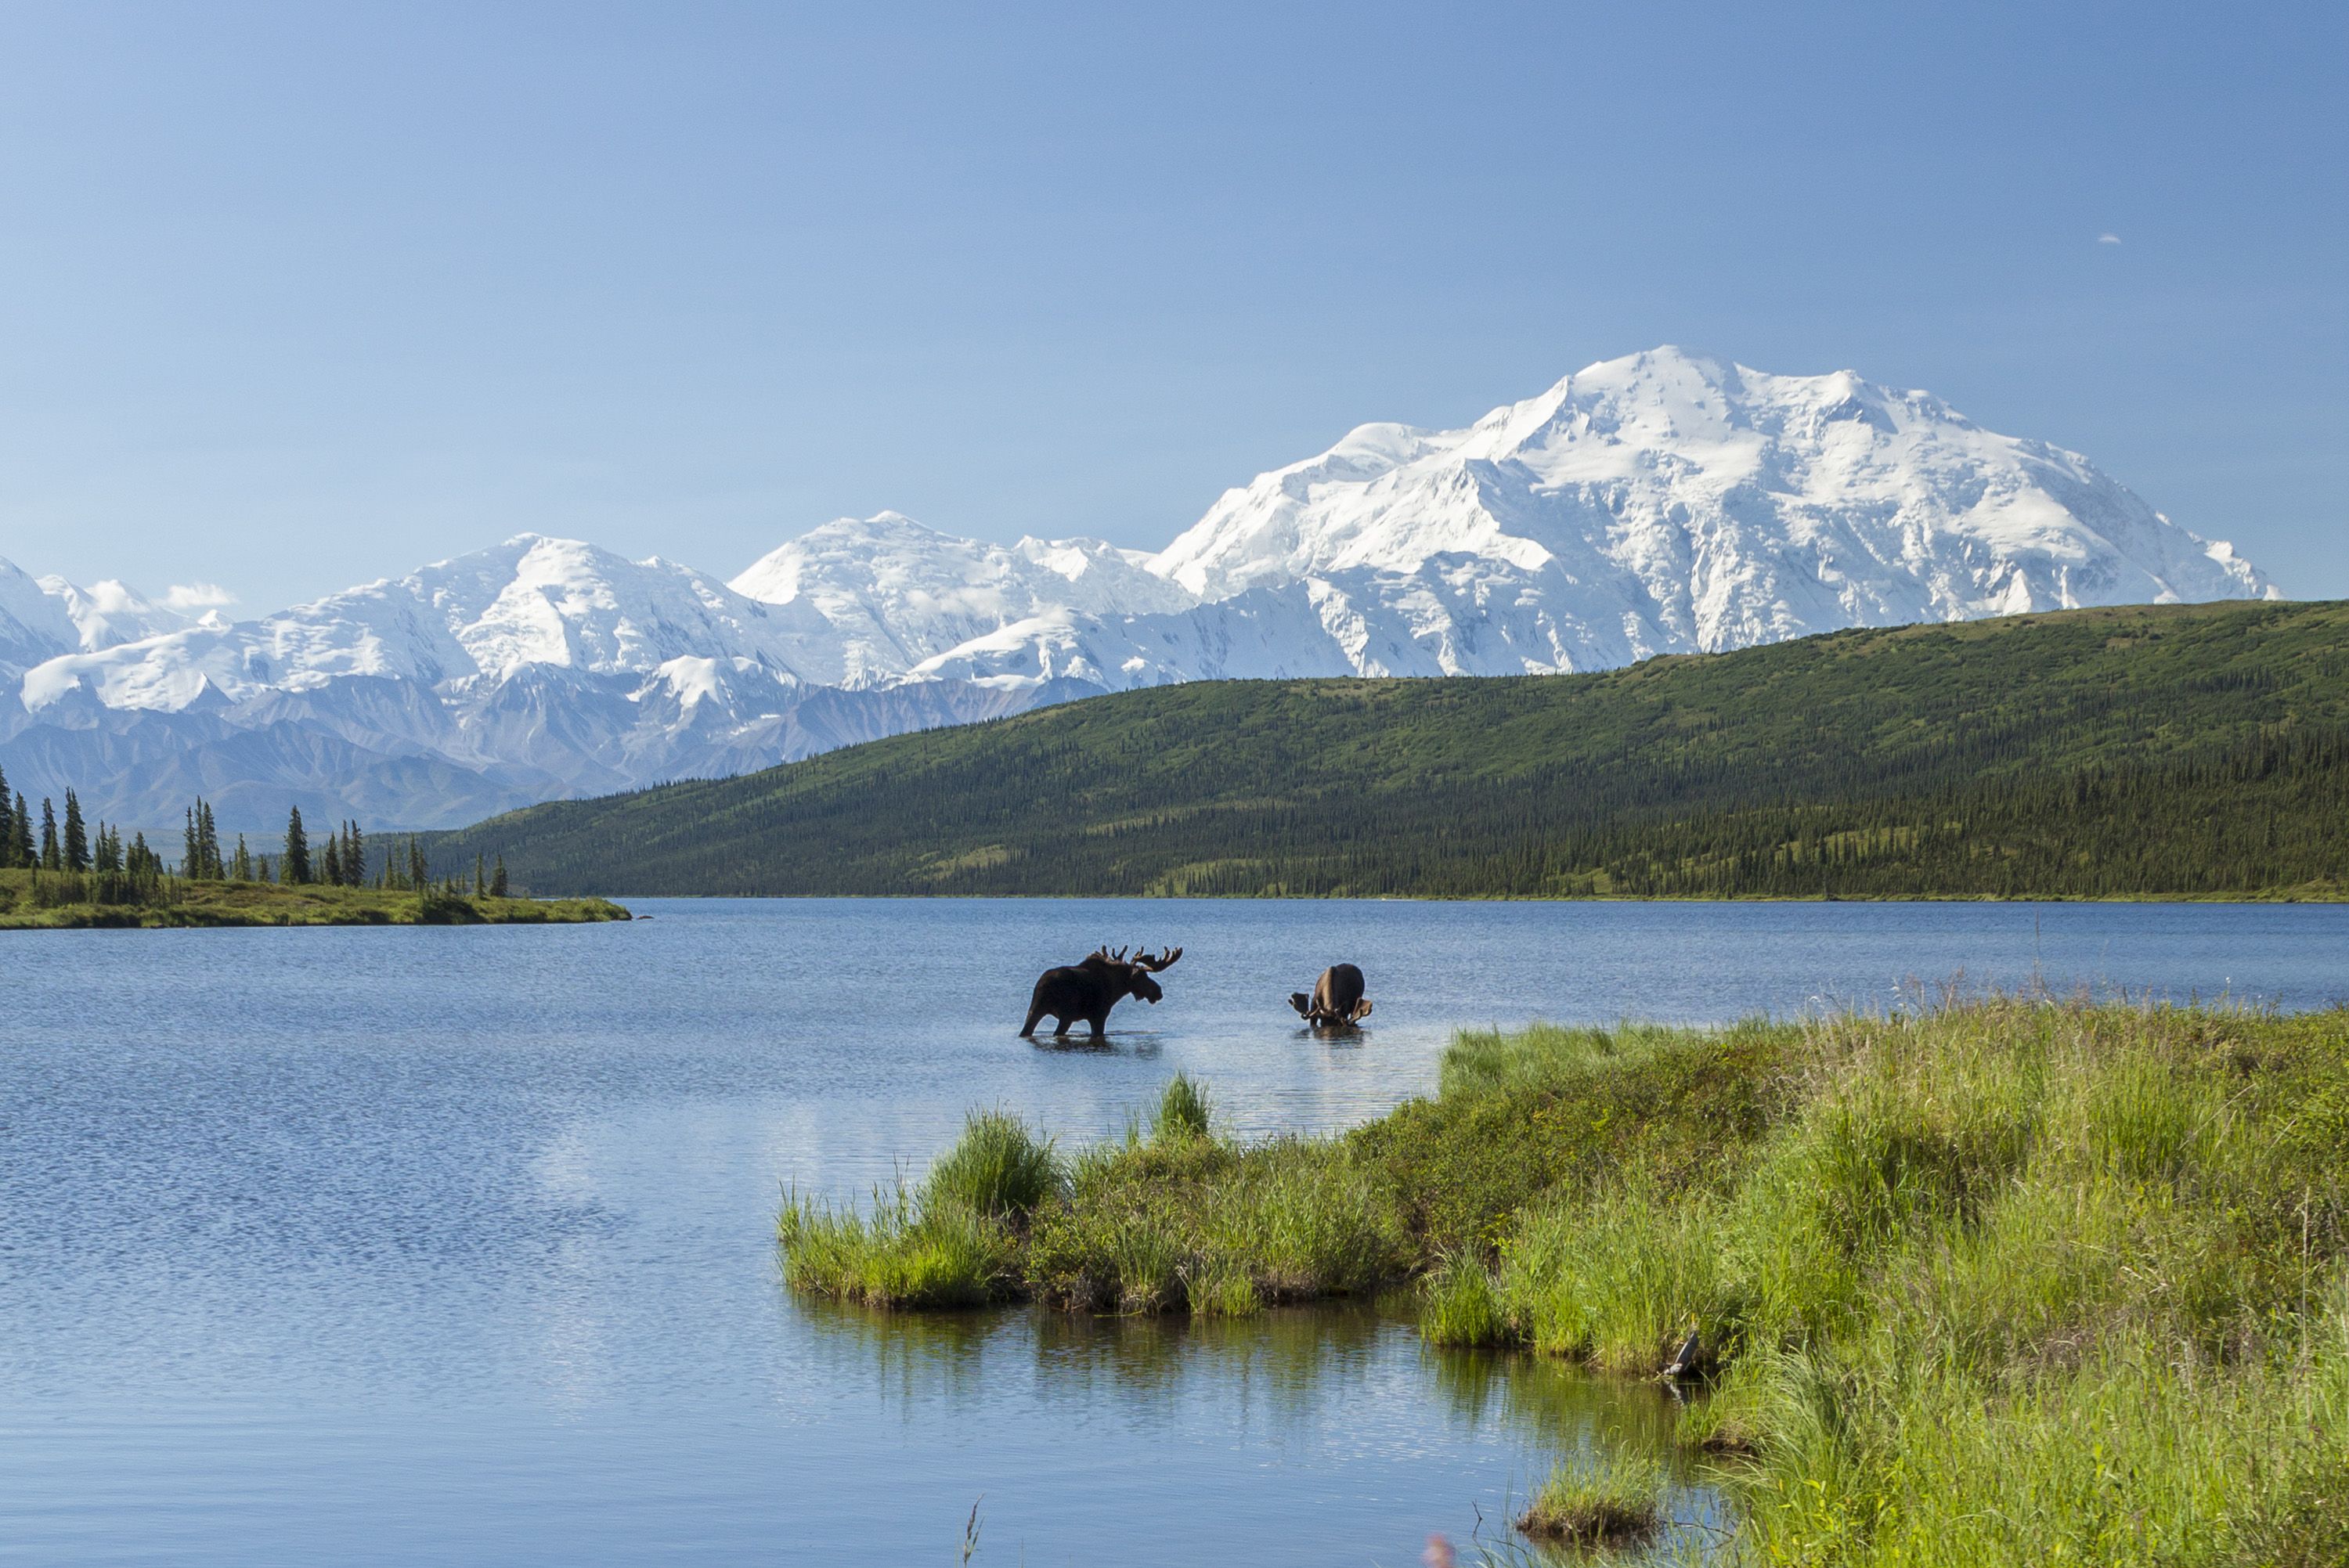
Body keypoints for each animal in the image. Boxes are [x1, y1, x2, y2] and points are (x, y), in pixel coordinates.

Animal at [1019, 943, 1184, 1042]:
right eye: (1143, 976)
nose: (1158, 991)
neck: (1117, 989)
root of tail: (1043, 984)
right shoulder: (1099, 1016)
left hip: (1035, 1009)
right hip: (1066, 1015)